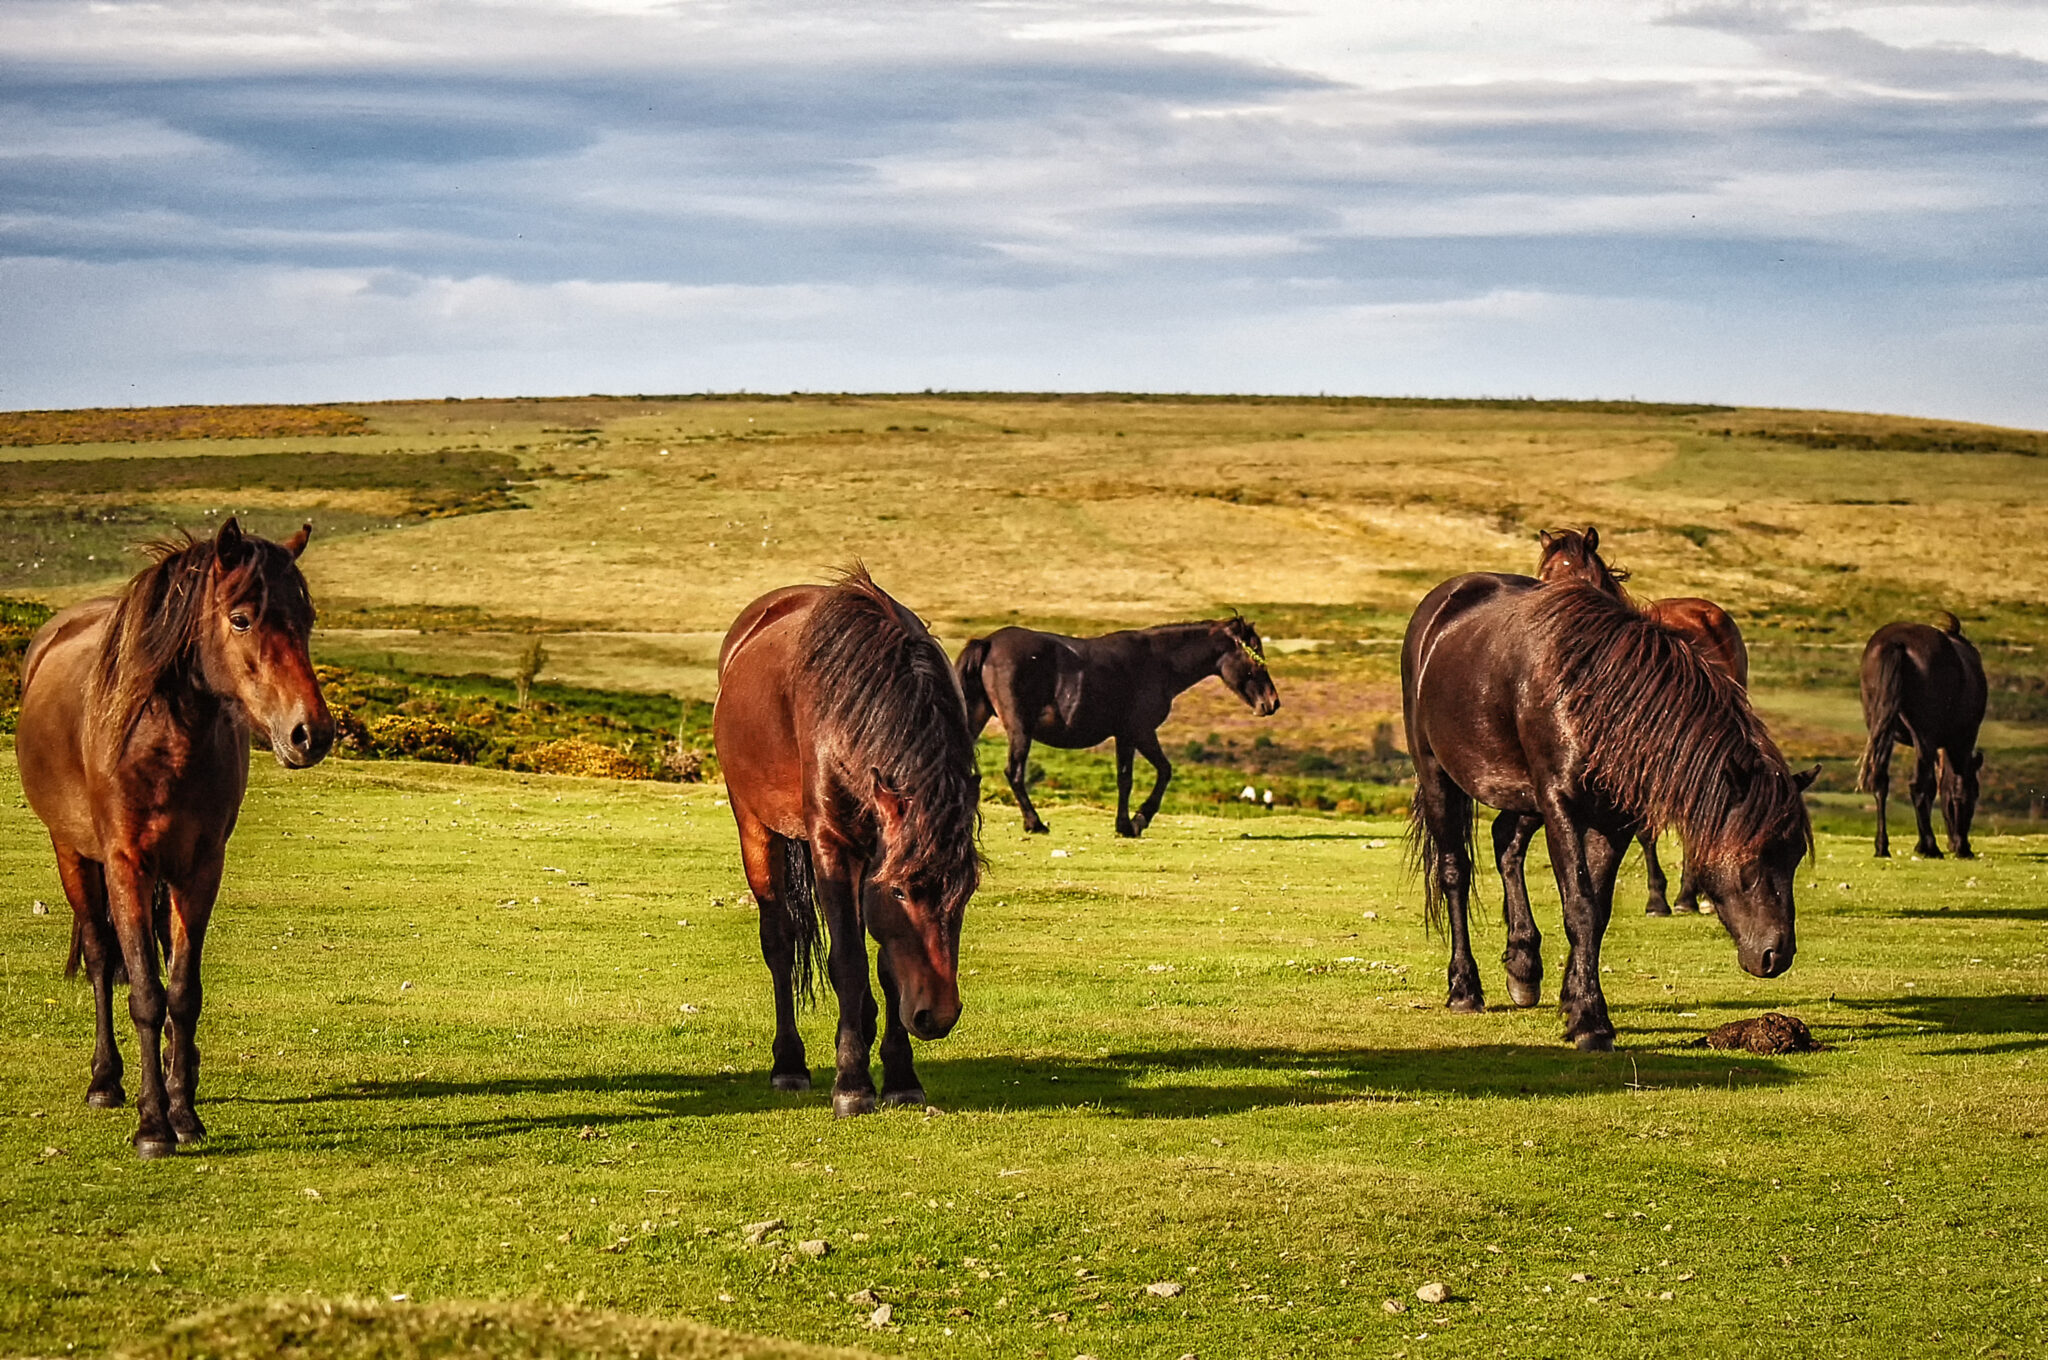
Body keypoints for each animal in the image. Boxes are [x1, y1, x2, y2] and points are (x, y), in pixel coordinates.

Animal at [16, 519, 333, 1157]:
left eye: (307, 618)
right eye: (241, 618)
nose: (311, 733)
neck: (161, 737)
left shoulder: (199, 868)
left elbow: (182, 993)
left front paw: (183, 1111)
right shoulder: (126, 865)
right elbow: (143, 991)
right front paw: (153, 1126)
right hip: (73, 855)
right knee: (99, 955)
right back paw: (106, 1081)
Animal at [713, 568, 982, 1117]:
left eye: (966, 893)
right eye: (900, 891)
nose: (938, 1015)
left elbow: (886, 966)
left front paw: (900, 1076)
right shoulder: (833, 847)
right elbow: (849, 963)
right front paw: (853, 1084)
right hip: (756, 826)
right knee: (779, 940)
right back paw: (789, 1064)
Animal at [954, 616, 1280, 837]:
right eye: (1254, 652)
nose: (1272, 702)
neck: (1158, 662)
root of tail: (988, 643)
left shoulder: (1129, 735)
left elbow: (1133, 776)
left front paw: (1127, 823)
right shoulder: (1138, 732)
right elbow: (1153, 773)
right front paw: (1135, 821)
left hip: (978, 717)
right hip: (1019, 729)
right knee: (1015, 772)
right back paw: (1034, 823)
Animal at [1403, 571, 1814, 1049]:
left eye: (1794, 858)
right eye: (1751, 864)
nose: (1777, 955)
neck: (1595, 697)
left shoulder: (1613, 821)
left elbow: (1596, 912)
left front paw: (1574, 1000)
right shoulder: (1559, 805)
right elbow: (1579, 906)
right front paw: (1589, 1021)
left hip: (1522, 796)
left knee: (1506, 843)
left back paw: (1523, 966)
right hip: (1438, 775)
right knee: (1454, 872)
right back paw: (1464, 988)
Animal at [1858, 614, 1986, 859]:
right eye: (1976, 794)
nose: (1955, 844)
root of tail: (1897, 642)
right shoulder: (1961, 740)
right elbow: (1954, 787)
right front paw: (1960, 846)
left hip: (1881, 729)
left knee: (1881, 782)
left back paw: (1882, 846)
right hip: (1924, 736)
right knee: (1918, 785)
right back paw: (1930, 846)